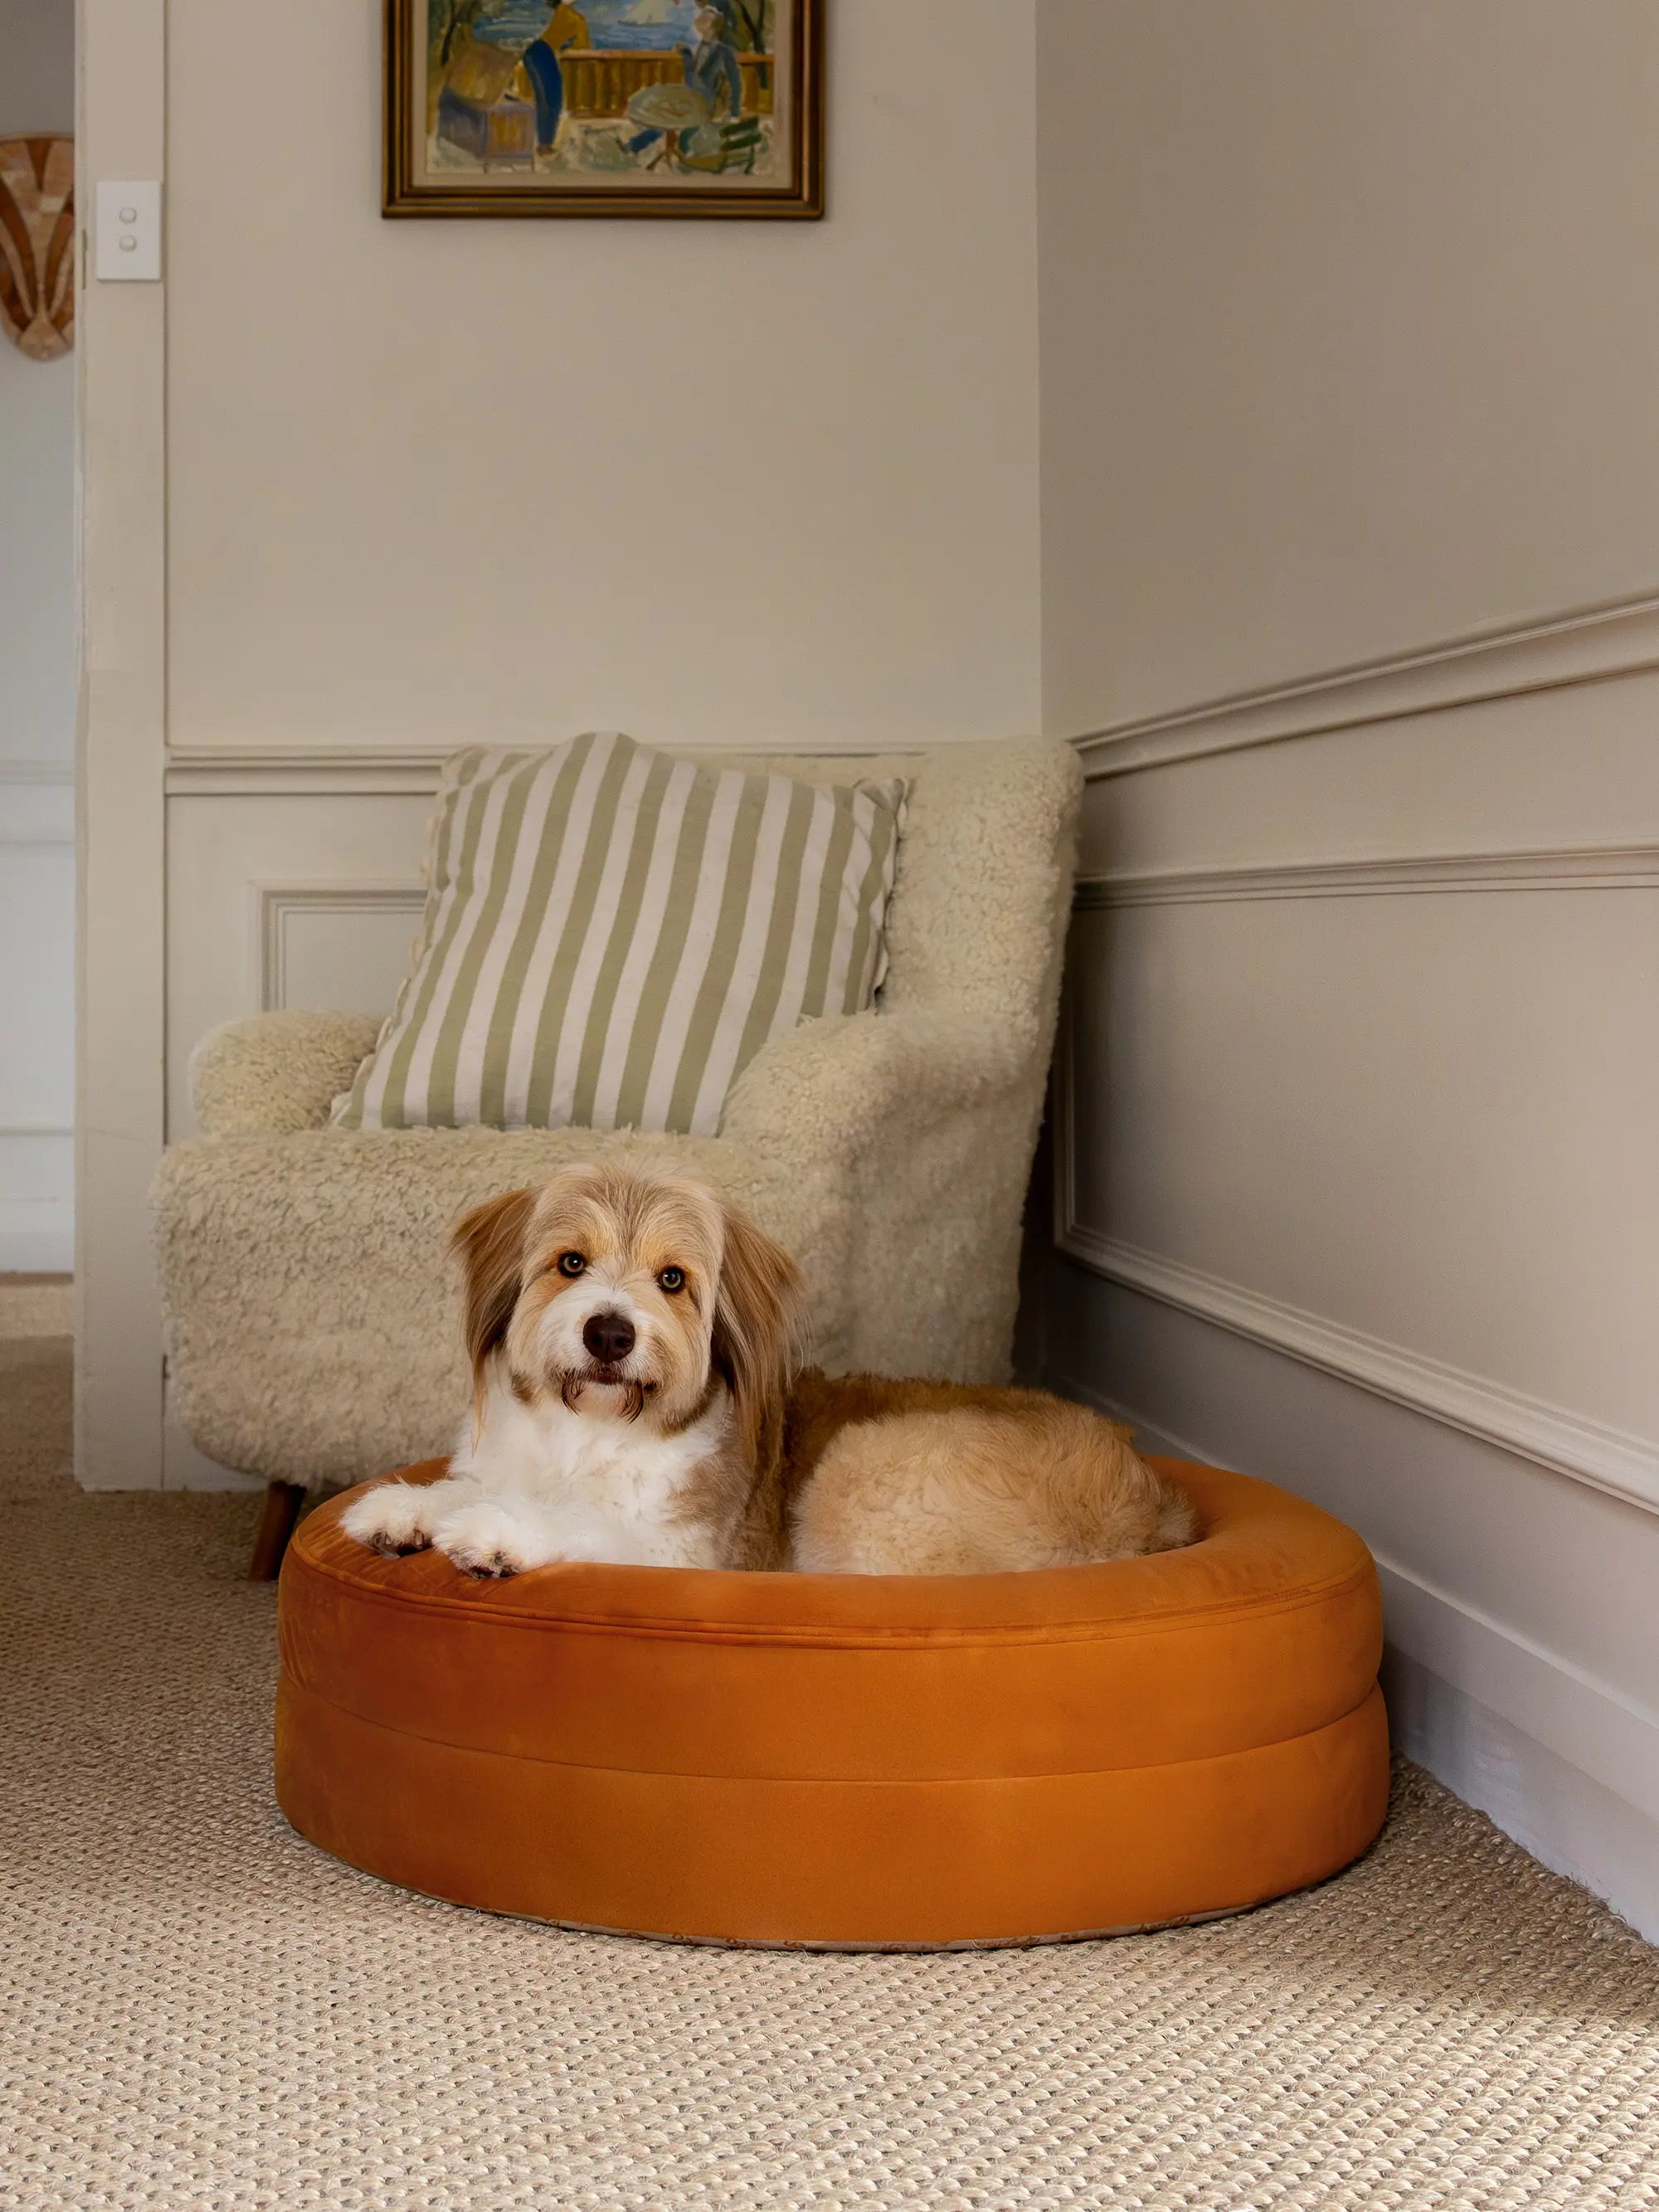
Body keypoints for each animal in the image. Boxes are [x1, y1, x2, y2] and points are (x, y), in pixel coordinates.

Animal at [341, 1161, 1196, 1576]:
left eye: (673, 1279)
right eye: (571, 1262)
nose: (610, 1334)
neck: (586, 1432)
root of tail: (1158, 1516)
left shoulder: (679, 1552)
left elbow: (581, 1521)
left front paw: (494, 1531)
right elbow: (474, 1484)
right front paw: (406, 1507)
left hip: (860, 1472)